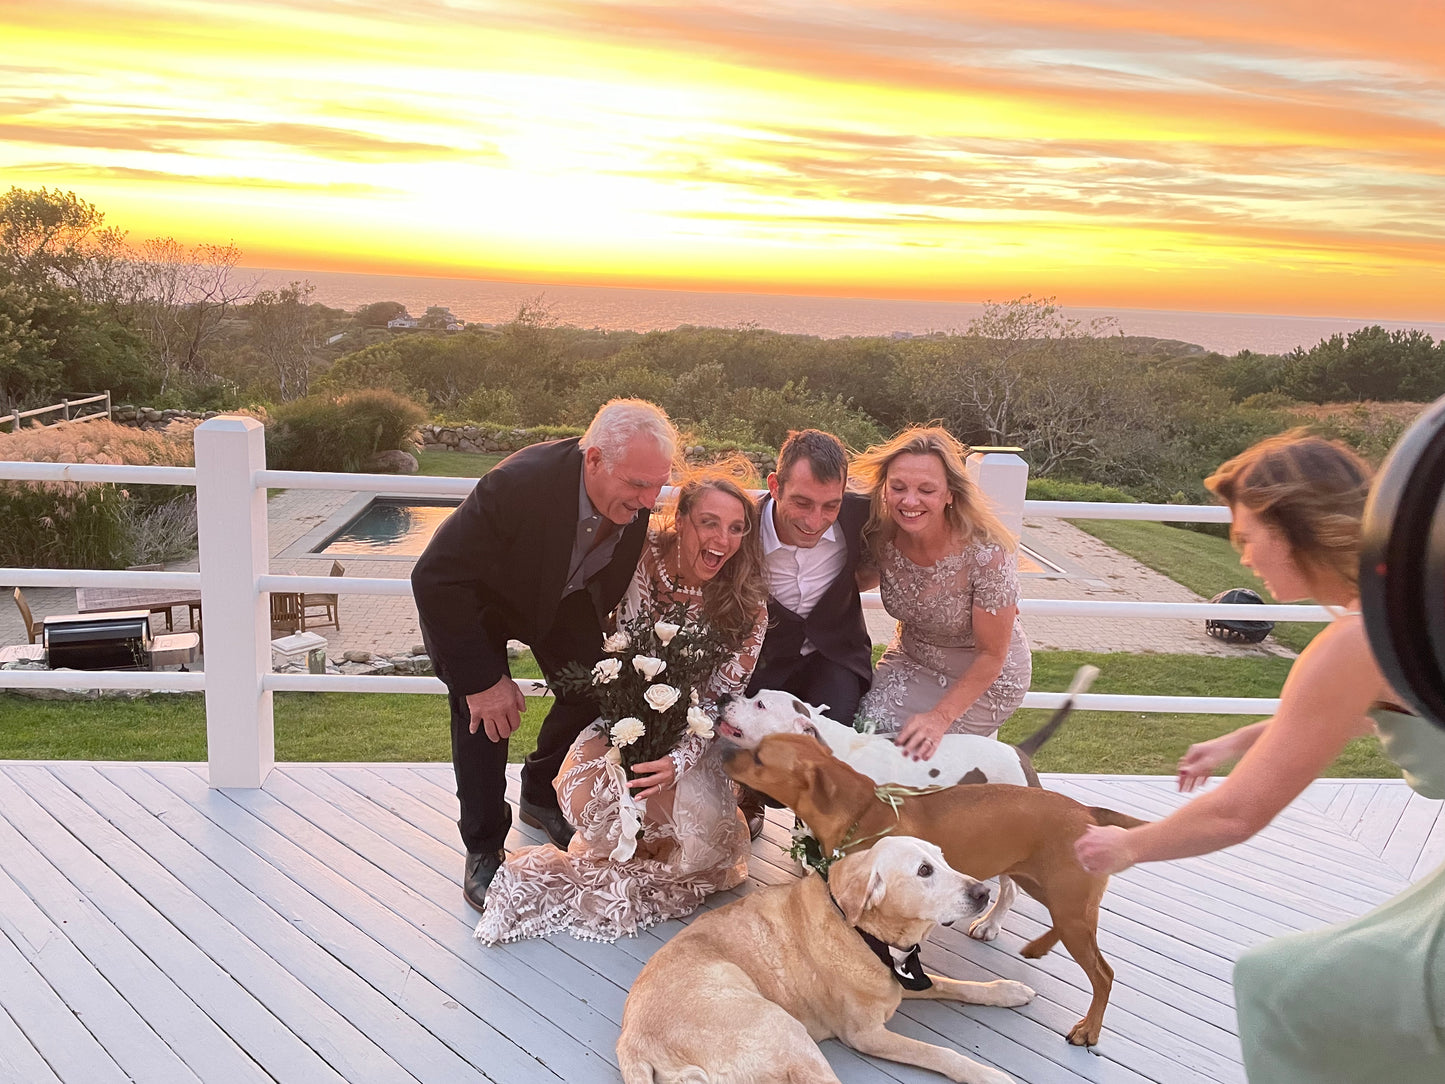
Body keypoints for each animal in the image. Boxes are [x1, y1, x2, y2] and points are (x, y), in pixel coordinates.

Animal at [728, 734, 1144, 1046]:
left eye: (760, 757)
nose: (723, 745)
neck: (862, 809)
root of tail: (1089, 812)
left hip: (1066, 902)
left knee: (1103, 973)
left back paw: (1089, 1029)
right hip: (1049, 889)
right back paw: (1038, 946)